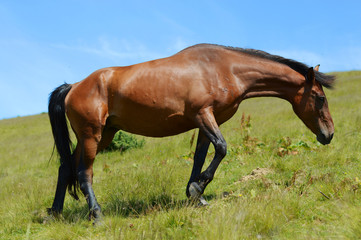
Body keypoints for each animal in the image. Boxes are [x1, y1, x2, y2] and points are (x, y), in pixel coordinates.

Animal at [47, 43, 334, 221]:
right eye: (320, 98)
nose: (328, 134)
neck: (224, 68)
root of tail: (74, 86)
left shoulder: (206, 121)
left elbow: (201, 156)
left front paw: (195, 194)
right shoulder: (203, 115)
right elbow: (222, 148)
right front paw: (197, 188)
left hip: (102, 135)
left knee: (65, 168)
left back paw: (55, 212)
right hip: (91, 136)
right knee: (83, 173)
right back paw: (96, 215)